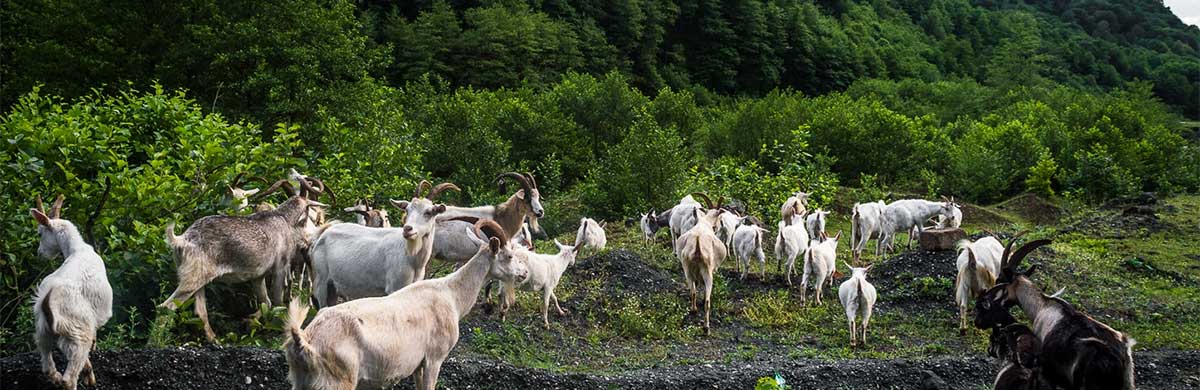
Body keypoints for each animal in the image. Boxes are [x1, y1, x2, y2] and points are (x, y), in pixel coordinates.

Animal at [29, 195, 112, 386]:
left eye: (40, 234)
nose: (40, 253)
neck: (76, 249)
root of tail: (48, 306)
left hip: (43, 332)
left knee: (47, 366)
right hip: (77, 331)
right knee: (71, 373)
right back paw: (83, 378)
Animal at [162, 178, 328, 340]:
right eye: (308, 214)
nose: (313, 236)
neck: (285, 220)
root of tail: (183, 239)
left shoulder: (258, 276)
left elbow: (266, 302)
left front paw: (251, 322)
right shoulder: (280, 268)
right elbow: (277, 302)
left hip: (199, 282)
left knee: (200, 311)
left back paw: (214, 339)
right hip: (191, 279)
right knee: (166, 307)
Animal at [283, 218, 528, 388]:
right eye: (508, 256)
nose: (524, 273)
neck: (451, 295)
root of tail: (304, 341)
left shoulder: (418, 366)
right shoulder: (434, 358)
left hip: (301, 380)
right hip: (337, 380)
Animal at [309, 181, 453, 307]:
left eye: (428, 212)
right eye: (407, 210)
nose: (407, 229)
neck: (410, 257)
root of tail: (323, 234)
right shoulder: (395, 287)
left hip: (333, 288)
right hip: (321, 282)